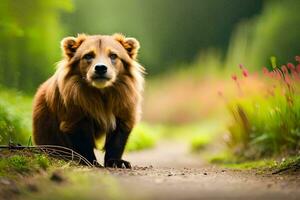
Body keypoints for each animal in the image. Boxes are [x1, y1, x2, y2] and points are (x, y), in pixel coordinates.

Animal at [32, 33, 145, 168]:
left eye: (113, 55)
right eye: (88, 55)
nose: (100, 68)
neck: (102, 94)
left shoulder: (124, 107)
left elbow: (117, 140)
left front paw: (117, 162)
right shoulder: (74, 113)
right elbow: (83, 142)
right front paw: (89, 161)